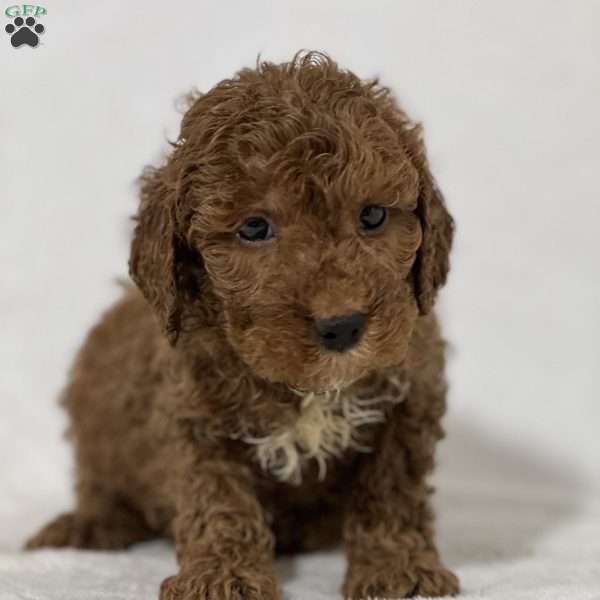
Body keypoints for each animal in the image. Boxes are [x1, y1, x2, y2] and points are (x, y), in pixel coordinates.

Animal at [27, 51, 460, 600]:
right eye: (254, 228)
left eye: (374, 216)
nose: (341, 326)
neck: (308, 391)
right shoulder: (196, 416)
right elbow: (218, 500)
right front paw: (222, 575)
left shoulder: (409, 399)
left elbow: (392, 490)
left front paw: (399, 568)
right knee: (99, 486)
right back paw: (88, 525)